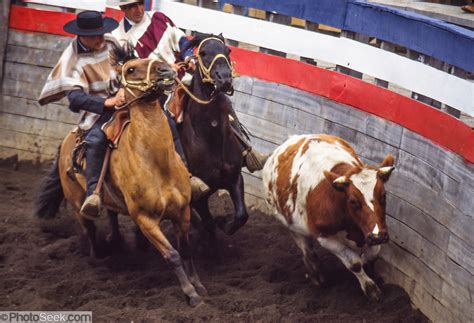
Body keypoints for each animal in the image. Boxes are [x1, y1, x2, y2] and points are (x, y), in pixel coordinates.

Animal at [36, 47, 206, 306]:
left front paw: (198, 285)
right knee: (89, 229)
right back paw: (96, 257)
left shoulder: (182, 211)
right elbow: (172, 255)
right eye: (131, 69)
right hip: (77, 204)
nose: (166, 70)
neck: (157, 163)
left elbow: (186, 249)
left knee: (112, 215)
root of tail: (68, 139)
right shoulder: (145, 219)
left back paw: (116, 242)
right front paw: (190, 293)